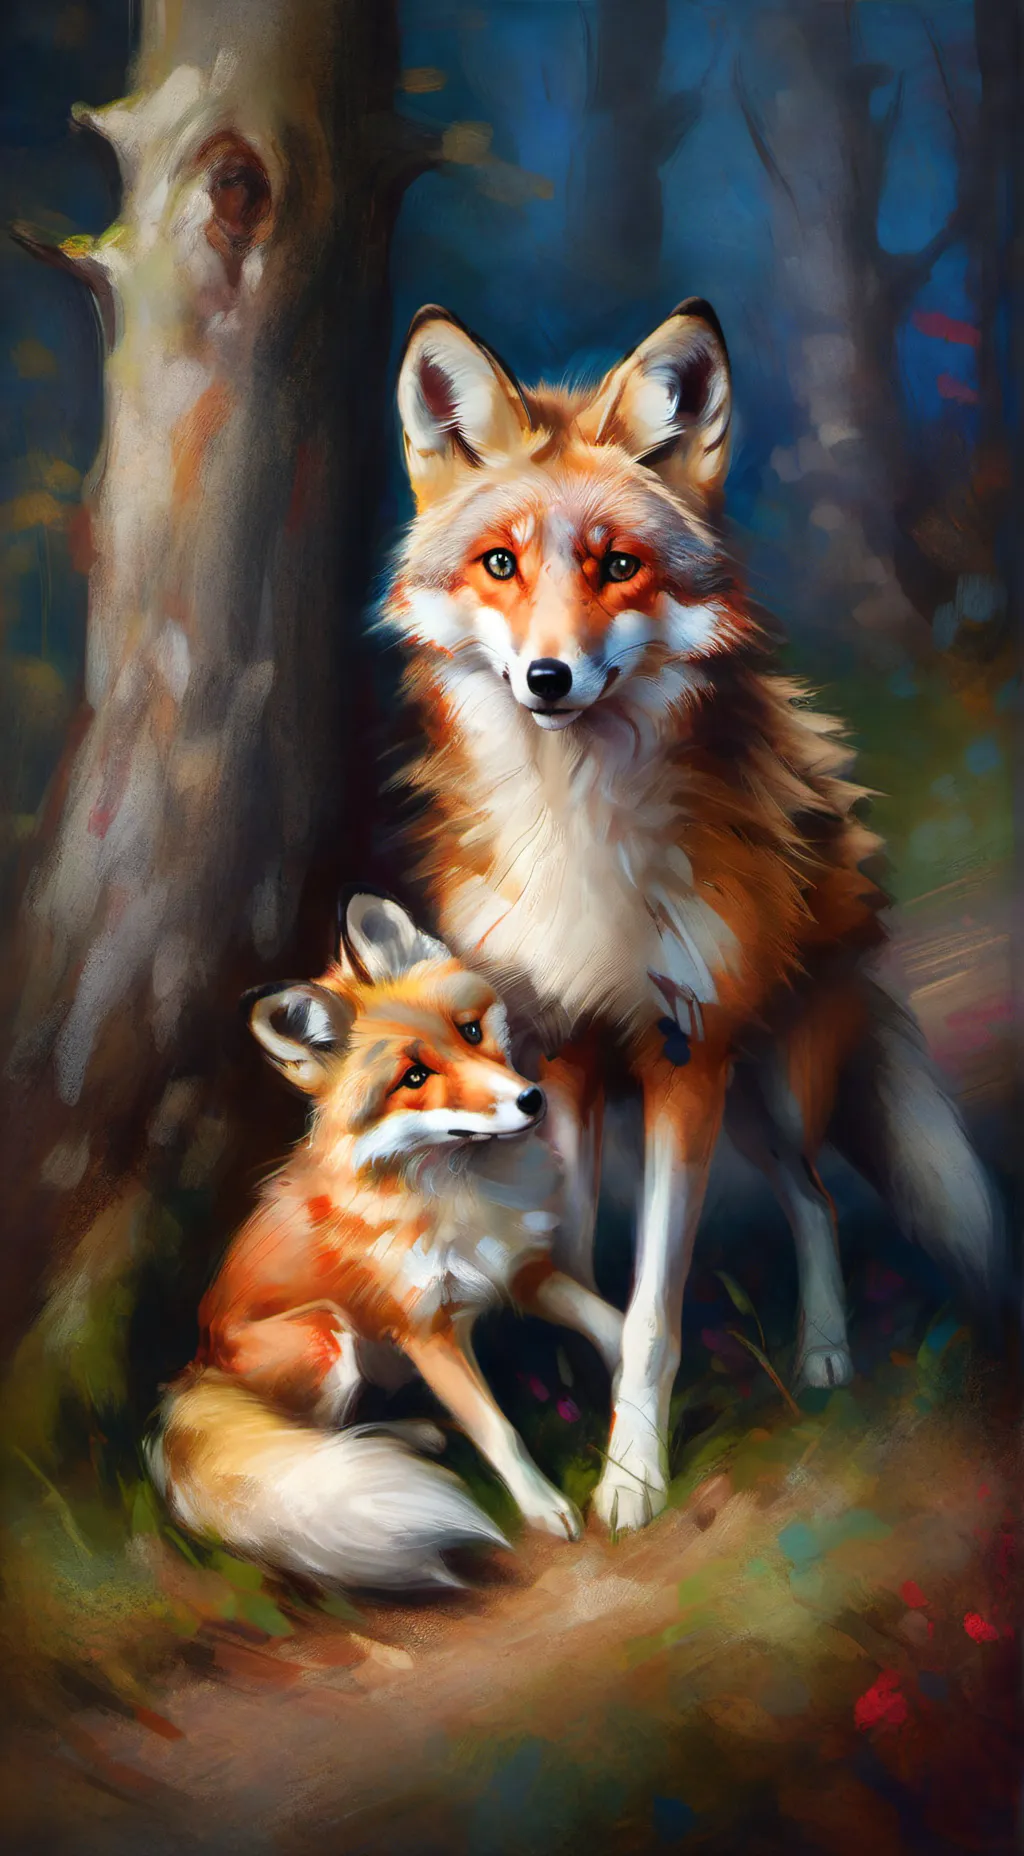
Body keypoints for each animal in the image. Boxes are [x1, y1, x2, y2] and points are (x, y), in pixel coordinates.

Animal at [149, 892, 623, 1589]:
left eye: (471, 1032)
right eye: (415, 1077)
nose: (533, 1100)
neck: (461, 1197)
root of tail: (193, 1372)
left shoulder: (519, 1272)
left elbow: (617, 1323)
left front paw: (647, 1370)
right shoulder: (426, 1331)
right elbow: (498, 1431)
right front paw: (543, 1506)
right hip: (328, 1336)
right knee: (314, 1443)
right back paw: (392, 1448)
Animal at [384, 297, 1003, 1535]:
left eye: (618, 566)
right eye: (499, 563)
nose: (549, 677)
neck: (578, 832)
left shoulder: (684, 1057)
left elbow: (656, 1311)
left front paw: (633, 1478)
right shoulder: (559, 1056)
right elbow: (578, 1253)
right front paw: (567, 1406)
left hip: (763, 1076)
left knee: (815, 1197)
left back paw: (823, 1354)